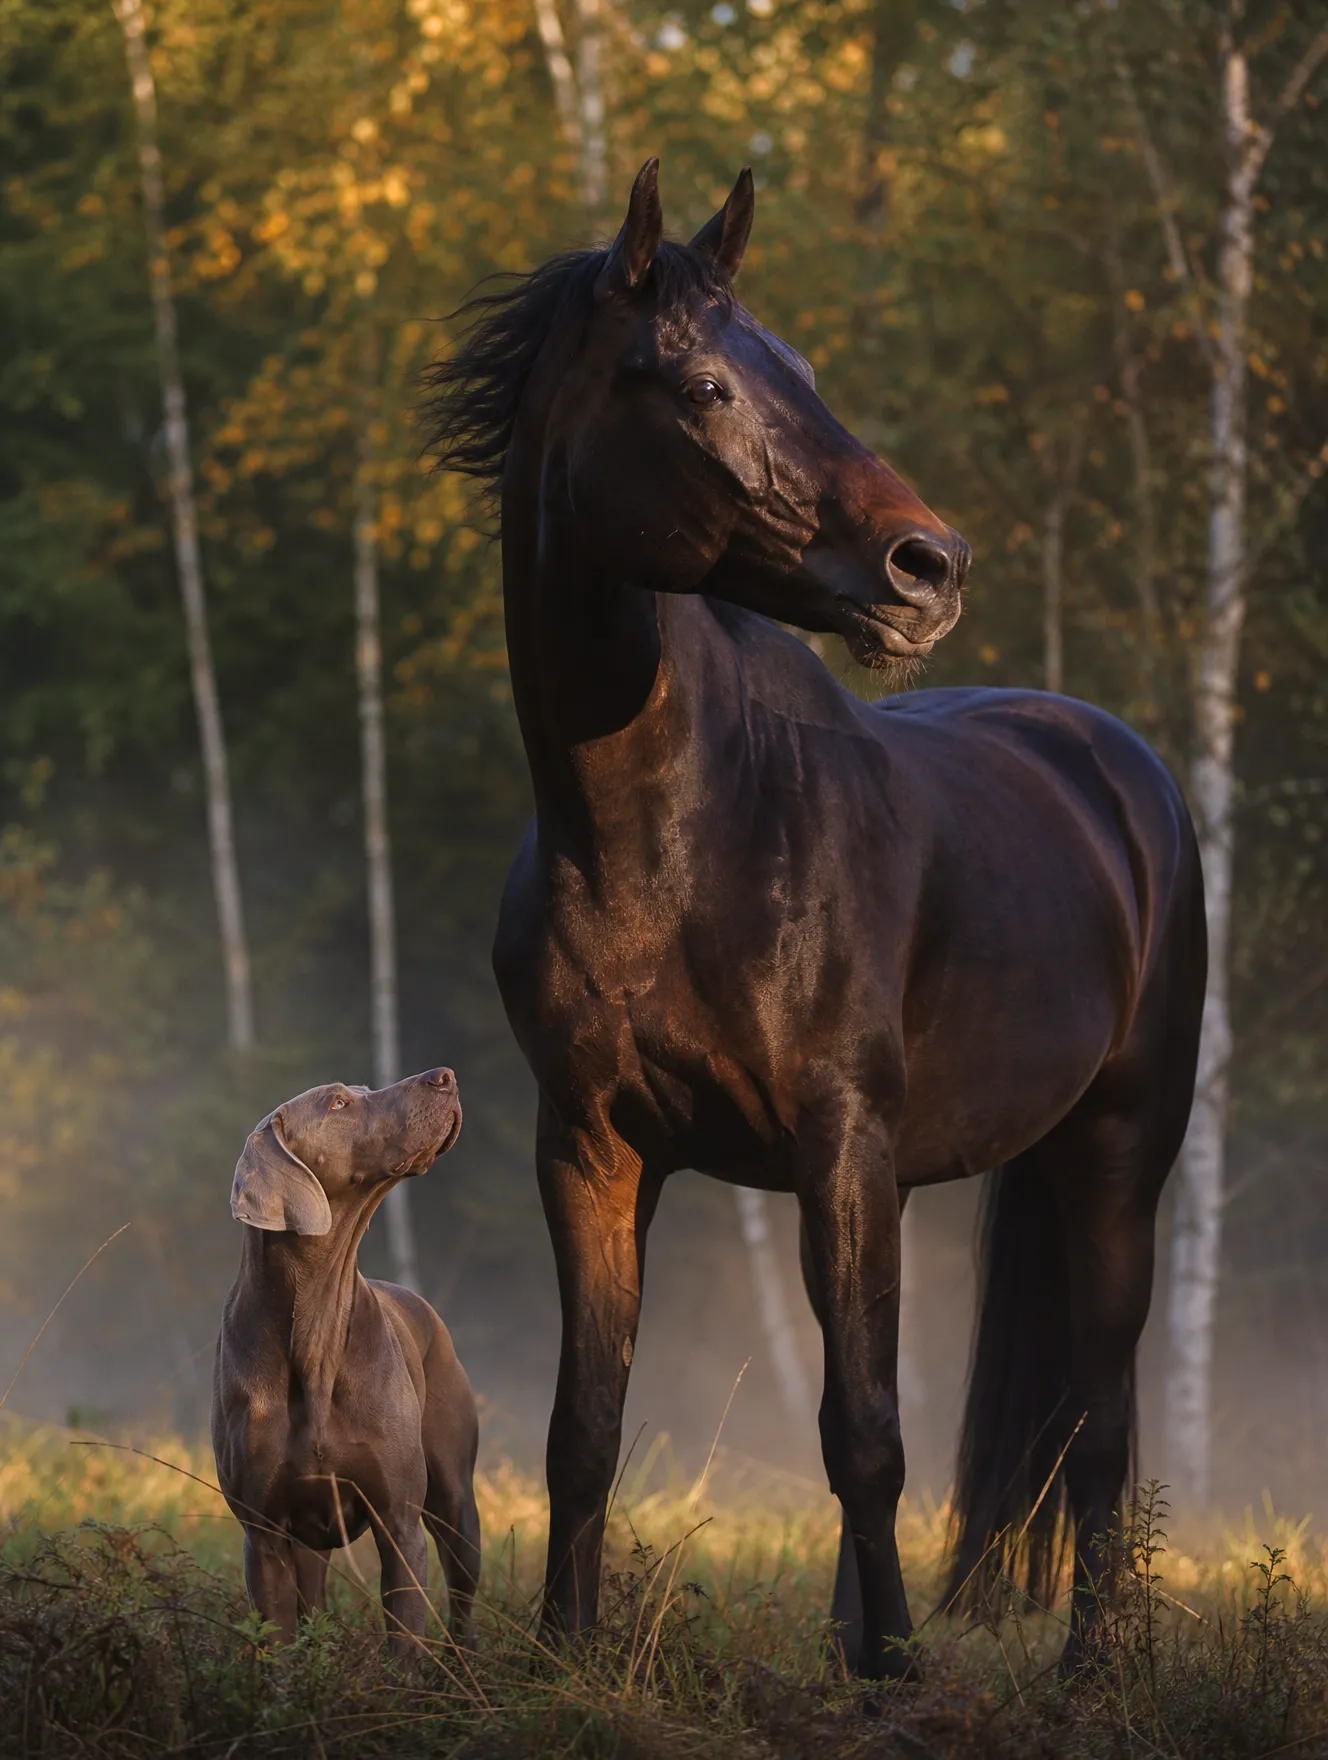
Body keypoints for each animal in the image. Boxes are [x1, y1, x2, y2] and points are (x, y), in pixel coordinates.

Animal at [425, 160, 1205, 1680]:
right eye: (702, 384)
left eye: (802, 369)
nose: (928, 566)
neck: (676, 838)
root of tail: (1114, 764)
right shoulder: (594, 1148)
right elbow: (585, 1424)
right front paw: (562, 1653)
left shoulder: (836, 1143)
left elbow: (863, 1433)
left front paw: (897, 1675)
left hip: (1115, 1154)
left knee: (1098, 1420)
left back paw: (1087, 1666)